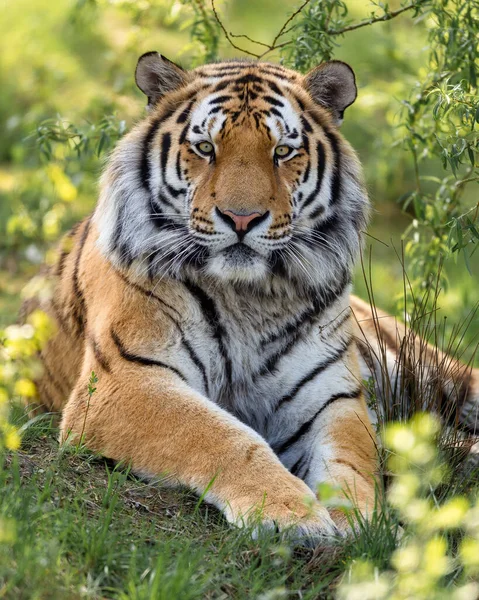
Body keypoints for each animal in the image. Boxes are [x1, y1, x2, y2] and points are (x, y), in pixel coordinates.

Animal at [27, 52, 479, 544]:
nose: (241, 218)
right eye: (206, 148)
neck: (250, 295)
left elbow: (353, 463)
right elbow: (219, 435)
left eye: (282, 151)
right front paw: (290, 514)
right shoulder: (128, 380)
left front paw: (361, 522)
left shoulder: (332, 395)